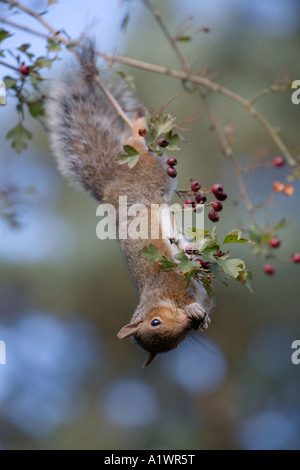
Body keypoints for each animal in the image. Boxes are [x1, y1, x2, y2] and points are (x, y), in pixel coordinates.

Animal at [46, 48, 213, 368]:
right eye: (175, 343)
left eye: (155, 322)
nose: (188, 324)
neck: (158, 300)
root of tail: (111, 184)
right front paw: (201, 318)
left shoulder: (173, 282)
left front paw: (196, 311)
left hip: (150, 172)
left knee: (136, 142)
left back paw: (137, 124)